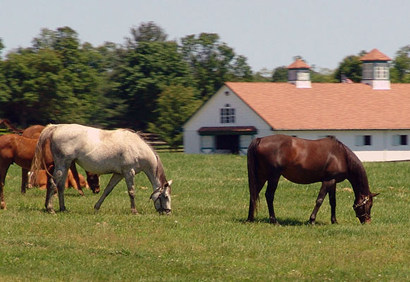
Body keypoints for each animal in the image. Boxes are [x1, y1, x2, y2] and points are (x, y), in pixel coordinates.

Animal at [31, 123, 171, 214]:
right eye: (165, 196)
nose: (168, 212)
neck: (137, 148)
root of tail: (57, 127)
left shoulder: (119, 174)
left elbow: (107, 190)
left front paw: (97, 207)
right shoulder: (128, 173)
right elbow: (131, 192)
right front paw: (134, 211)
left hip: (66, 165)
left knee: (60, 186)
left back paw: (62, 208)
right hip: (62, 163)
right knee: (53, 183)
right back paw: (50, 209)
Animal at [247, 134, 378, 225]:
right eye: (369, 205)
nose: (367, 221)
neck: (341, 155)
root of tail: (260, 139)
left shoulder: (333, 182)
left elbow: (333, 201)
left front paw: (334, 221)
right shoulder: (328, 180)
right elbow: (319, 200)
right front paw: (312, 220)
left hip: (262, 176)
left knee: (254, 193)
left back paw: (250, 219)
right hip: (273, 176)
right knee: (269, 195)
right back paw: (274, 220)